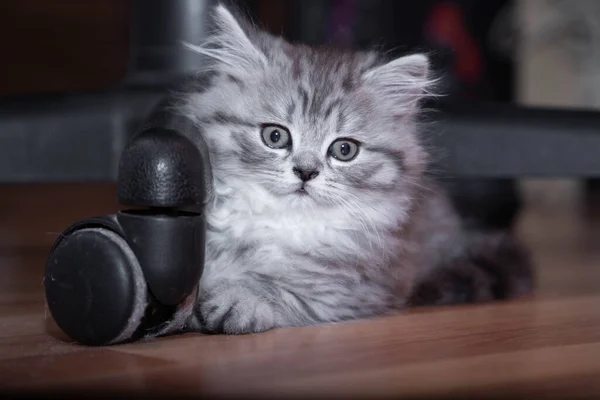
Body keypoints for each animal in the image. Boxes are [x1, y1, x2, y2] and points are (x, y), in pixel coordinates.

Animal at [168, 4, 536, 334]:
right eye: (275, 136)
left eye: (344, 150)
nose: (305, 172)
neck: (281, 225)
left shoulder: (357, 286)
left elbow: (287, 288)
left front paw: (240, 299)